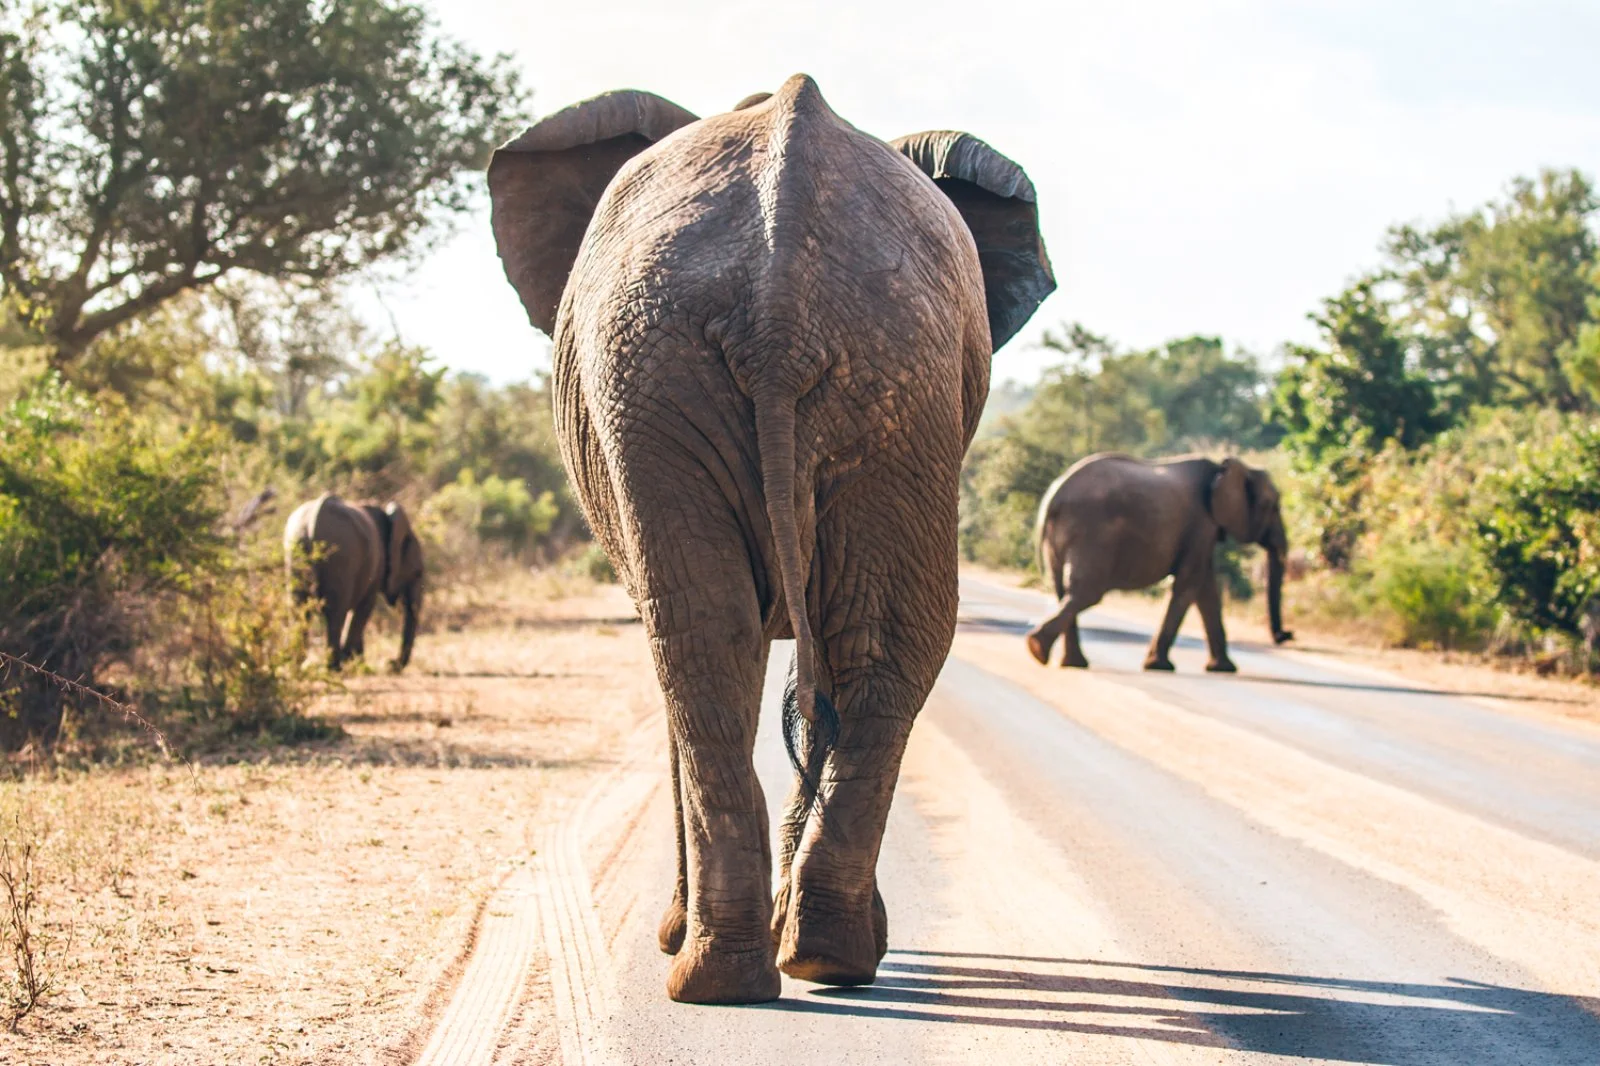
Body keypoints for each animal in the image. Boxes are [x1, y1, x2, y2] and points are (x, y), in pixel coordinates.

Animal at [283, 495, 424, 672]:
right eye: (417, 573)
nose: (390, 663)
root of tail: (312, 521)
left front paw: (359, 663)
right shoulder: (376, 567)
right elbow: (364, 609)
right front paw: (354, 662)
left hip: (296, 551)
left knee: (298, 609)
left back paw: (295, 665)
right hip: (341, 555)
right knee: (336, 612)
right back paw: (334, 667)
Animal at [488, 75, 1053, 1003]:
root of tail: (782, 298)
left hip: (741, 367)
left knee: (715, 640)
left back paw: (731, 966)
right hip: (859, 367)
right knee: (810, 641)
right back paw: (798, 960)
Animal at [1025, 454, 1293, 673]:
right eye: (1272, 506)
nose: (1286, 635)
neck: (1226, 469)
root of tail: (1054, 495)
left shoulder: (1201, 531)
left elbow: (1206, 592)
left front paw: (1223, 669)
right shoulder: (1202, 524)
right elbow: (1189, 585)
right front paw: (1160, 666)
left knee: (1063, 591)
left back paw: (1060, 658)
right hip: (1092, 530)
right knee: (1087, 593)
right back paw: (1041, 650)